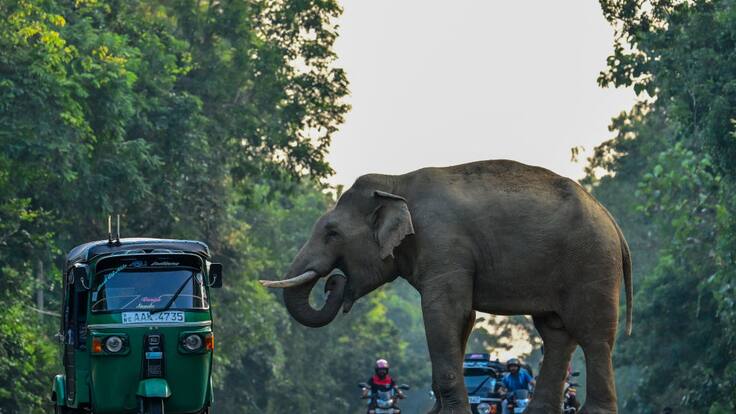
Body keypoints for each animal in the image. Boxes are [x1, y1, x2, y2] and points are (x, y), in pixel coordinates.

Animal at [260, 160, 632, 414]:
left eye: (332, 233)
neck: (396, 183)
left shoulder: (443, 244)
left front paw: (451, 413)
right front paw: (435, 411)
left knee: (593, 334)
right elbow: (462, 319)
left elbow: (443, 312)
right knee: (556, 334)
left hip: (592, 262)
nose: (331, 283)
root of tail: (611, 220)